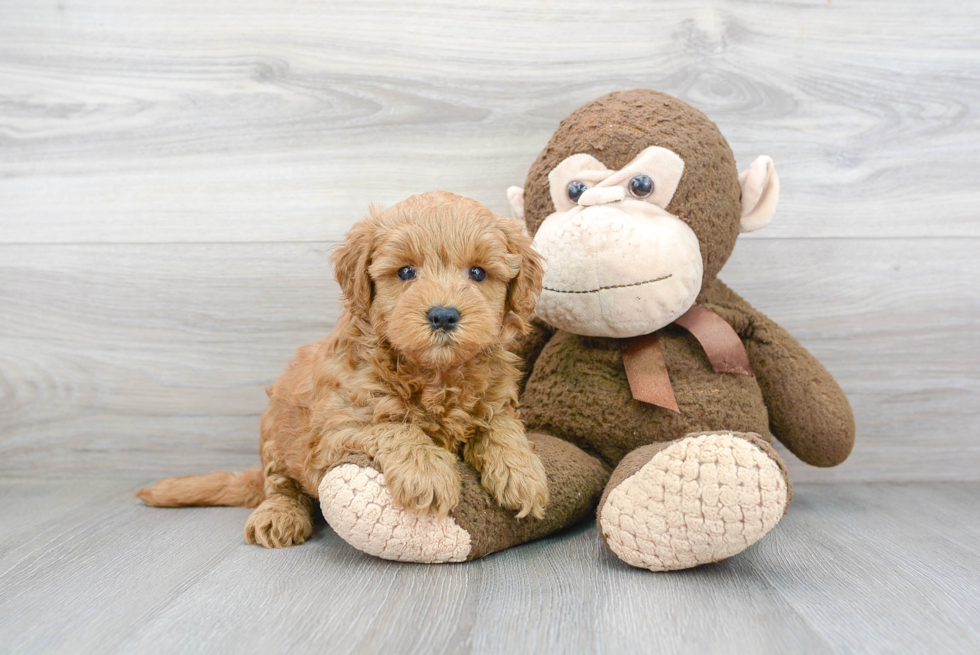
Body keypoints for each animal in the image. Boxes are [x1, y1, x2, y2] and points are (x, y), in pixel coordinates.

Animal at [136, 192, 552, 552]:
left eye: (478, 273)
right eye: (405, 271)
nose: (443, 315)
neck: (435, 373)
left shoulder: (496, 401)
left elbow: (501, 427)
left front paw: (523, 474)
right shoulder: (335, 427)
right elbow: (392, 426)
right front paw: (427, 472)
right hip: (276, 432)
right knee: (280, 485)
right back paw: (278, 515)